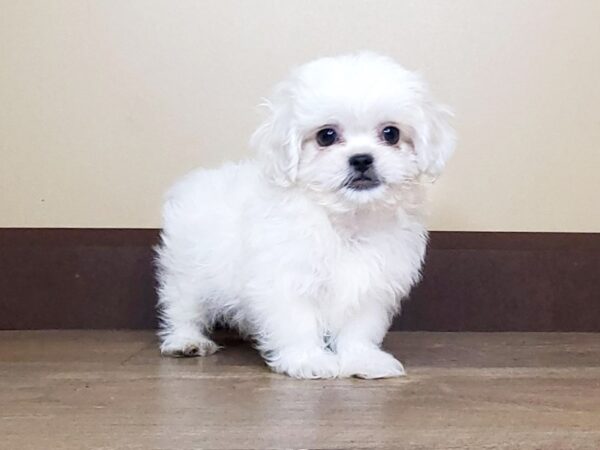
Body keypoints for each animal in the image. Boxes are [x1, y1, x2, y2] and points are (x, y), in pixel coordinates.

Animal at [156, 51, 454, 380]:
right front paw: (308, 360)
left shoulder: (371, 282)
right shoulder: (286, 277)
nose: (362, 159)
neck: (344, 219)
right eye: (326, 136)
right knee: (182, 305)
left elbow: (359, 327)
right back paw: (185, 340)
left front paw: (362, 359)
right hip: (189, 270)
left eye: (391, 133)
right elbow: (297, 322)